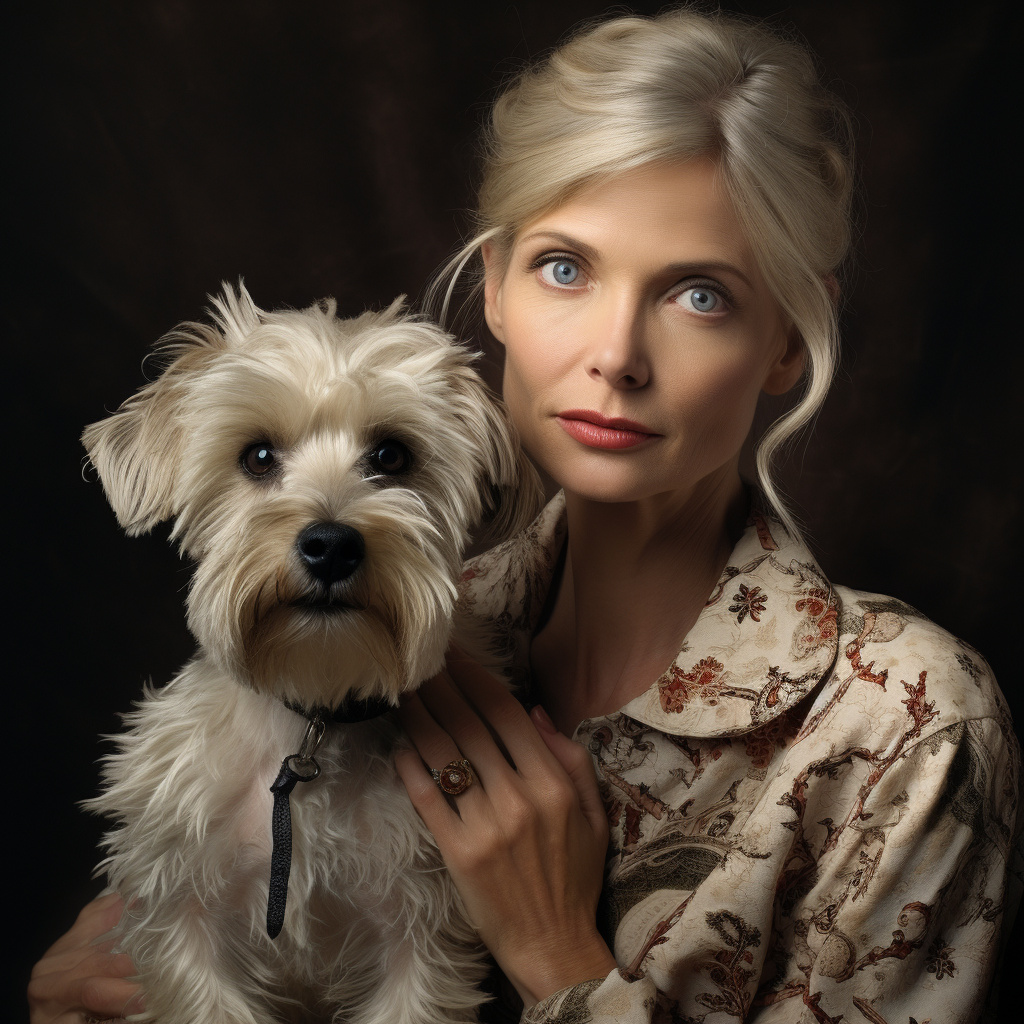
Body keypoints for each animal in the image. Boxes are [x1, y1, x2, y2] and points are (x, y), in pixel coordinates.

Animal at [83, 286, 540, 1024]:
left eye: (392, 456)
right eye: (258, 457)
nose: (331, 545)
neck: (314, 716)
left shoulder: (422, 938)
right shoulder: (184, 923)